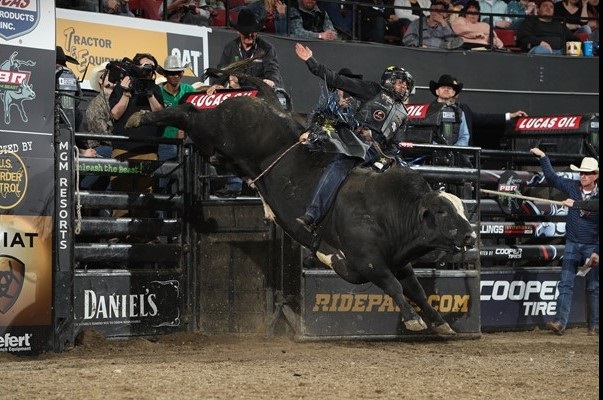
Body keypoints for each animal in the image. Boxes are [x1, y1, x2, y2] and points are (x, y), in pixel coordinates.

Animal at [127, 97, 476, 334]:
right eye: (442, 211)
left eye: (462, 208)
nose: (471, 234)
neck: (389, 209)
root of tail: (252, 101)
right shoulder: (368, 261)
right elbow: (393, 286)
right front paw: (413, 319)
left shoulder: (399, 260)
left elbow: (415, 289)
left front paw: (439, 322)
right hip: (215, 132)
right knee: (188, 113)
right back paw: (140, 116)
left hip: (217, 150)